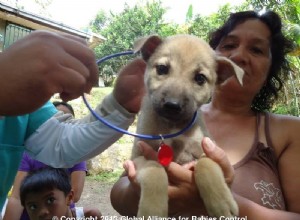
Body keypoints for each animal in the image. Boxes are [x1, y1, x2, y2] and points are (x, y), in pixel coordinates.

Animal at [131, 35, 244, 217]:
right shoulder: (137, 156)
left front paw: (221, 203)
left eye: (200, 78)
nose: (172, 105)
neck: (172, 126)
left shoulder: (208, 150)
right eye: (162, 68)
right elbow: (154, 169)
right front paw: (153, 209)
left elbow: (205, 164)